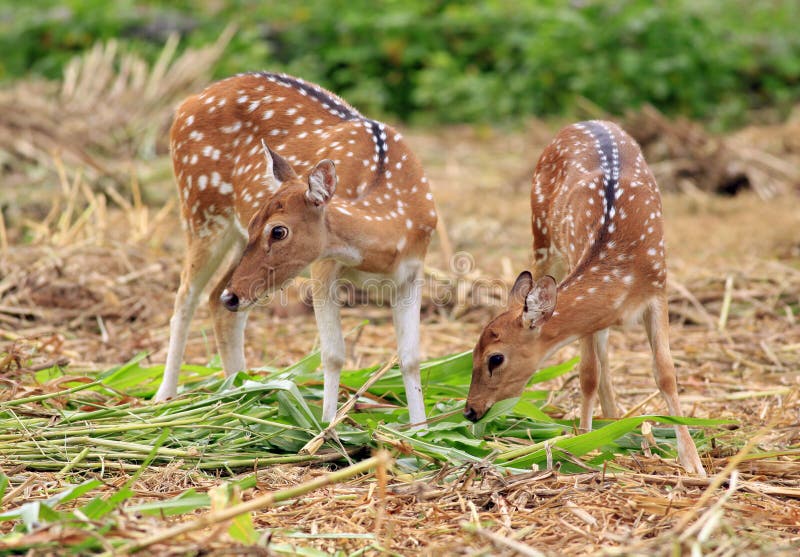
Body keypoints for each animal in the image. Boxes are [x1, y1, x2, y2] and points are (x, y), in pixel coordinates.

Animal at [156, 71, 438, 424]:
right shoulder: (323, 266)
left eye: (278, 230)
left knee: (217, 300)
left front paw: (420, 429)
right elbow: (333, 354)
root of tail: (185, 104)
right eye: (259, 223)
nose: (233, 296)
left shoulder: (412, 273)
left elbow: (410, 358)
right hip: (201, 210)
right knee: (185, 298)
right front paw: (326, 426)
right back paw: (165, 396)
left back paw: (241, 393)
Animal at [462, 120, 708, 474]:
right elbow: (588, 373)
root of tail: (583, 123)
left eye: (495, 358)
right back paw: (609, 424)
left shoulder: (659, 289)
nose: (470, 411)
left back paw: (615, 421)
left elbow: (665, 372)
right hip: (542, 236)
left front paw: (692, 462)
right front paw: (586, 444)